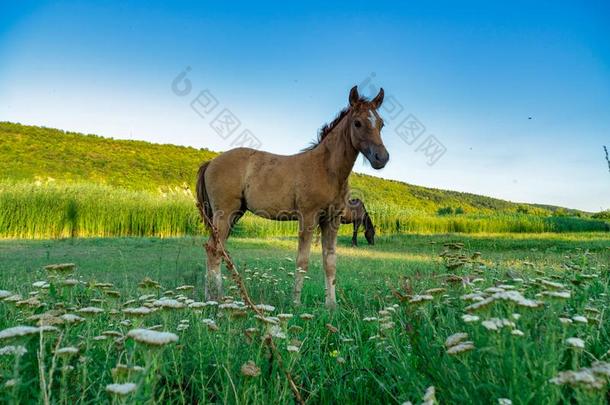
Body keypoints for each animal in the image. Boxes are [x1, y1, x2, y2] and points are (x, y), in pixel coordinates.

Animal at [195, 84, 388, 306]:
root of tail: (211, 162)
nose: (382, 158)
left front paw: (332, 306)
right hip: (224, 213)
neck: (326, 169)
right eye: (357, 123)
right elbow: (302, 261)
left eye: (381, 124)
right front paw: (295, 303)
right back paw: (215, 299)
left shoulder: (332, 220)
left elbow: (330, 261)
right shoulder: (308, 217)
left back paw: (214, 297)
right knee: (213, 250)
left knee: (216, 249)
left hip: (234, 214)